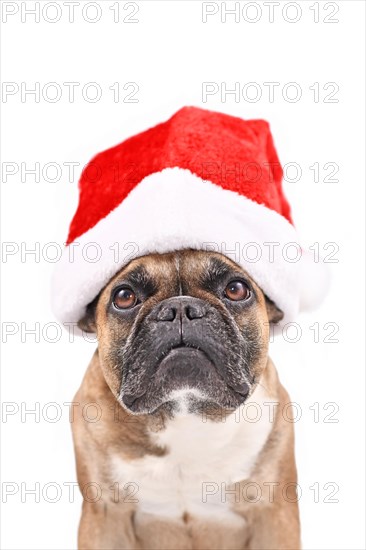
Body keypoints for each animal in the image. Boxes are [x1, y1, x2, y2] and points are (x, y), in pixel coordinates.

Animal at [71, 251, 300, 550]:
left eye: (236, 289)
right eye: (124, 296)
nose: (180, 308)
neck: (185, 413)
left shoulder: (273, 515)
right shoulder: (106, 516)